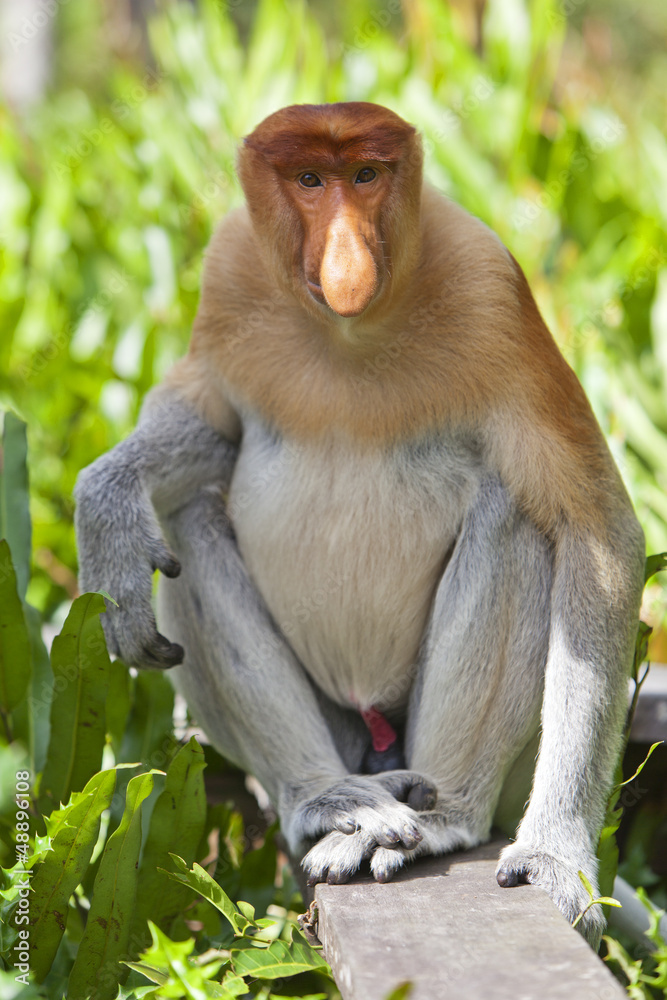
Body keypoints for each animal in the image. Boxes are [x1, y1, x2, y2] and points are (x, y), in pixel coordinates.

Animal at [74, 102, 645, 948]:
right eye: (310, 179)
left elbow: (594, 531)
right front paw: (107, 503)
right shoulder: (230, 270)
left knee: (515, 516)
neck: (349, 333)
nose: (346, 256)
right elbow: (210, 425)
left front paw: (552, 855)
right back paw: (328, 798)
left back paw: (445, 816)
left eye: (367, 176)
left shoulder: (490, 290)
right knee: (188, 517)